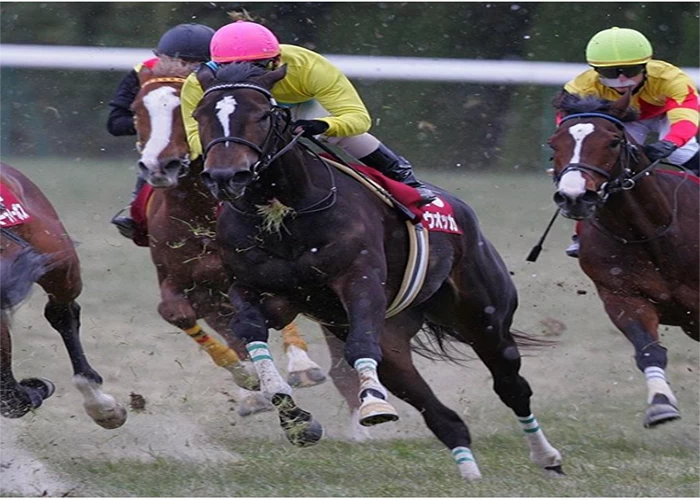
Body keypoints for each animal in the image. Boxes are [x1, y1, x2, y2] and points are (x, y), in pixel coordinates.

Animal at [133, 58, 372, 434]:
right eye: (136, 109)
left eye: (179, 111)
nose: (159, 166)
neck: (201, 213)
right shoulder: (189, 283)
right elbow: (179, 313)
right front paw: (249, 381)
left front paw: (300, 367)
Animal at [191, 62, 564, 480]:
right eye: (199, 116)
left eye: (261, 115)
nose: (225, 177)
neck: (283, 212)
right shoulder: (259, 291)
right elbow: (250, 332)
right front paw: (295, 418)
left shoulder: (360, 279)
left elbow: (358, 346)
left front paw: (372, 404)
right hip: (395, 342)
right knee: (444, 417)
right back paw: (470, 473)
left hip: (484, 318)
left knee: (511, 385)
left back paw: (546, 456)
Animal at [548, 88, 696, 428]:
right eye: (553, 144)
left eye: (613, 142)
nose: (574, 196)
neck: (650, 232)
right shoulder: (622, 295)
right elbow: (648, 350)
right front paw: (660, 405)